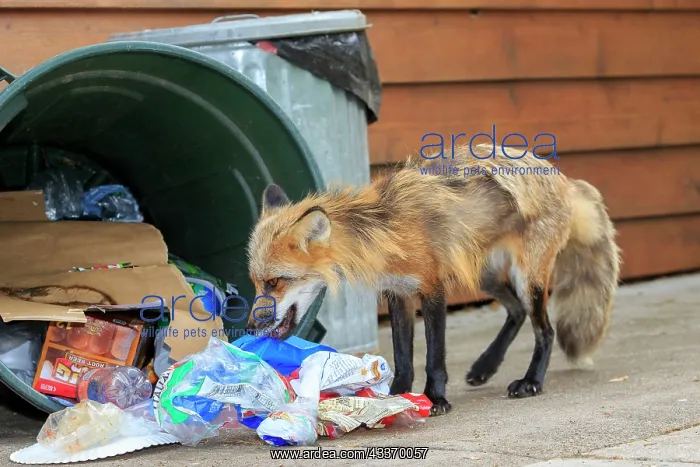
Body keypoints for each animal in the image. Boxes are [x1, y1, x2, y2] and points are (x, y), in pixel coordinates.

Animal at [245, 142, 621, 416]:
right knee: (515, 312)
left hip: (527, 278)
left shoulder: (432, 288)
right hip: (483, 276)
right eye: (255, 282)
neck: (385, 232)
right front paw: (397, 396)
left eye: (275, 281)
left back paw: (530, 381)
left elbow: (434, 356)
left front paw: (435, 398)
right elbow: (403, 357)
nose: (249, 327)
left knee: (545, 330)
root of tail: (563, 179)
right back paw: (485, 366)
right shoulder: (397, 293)